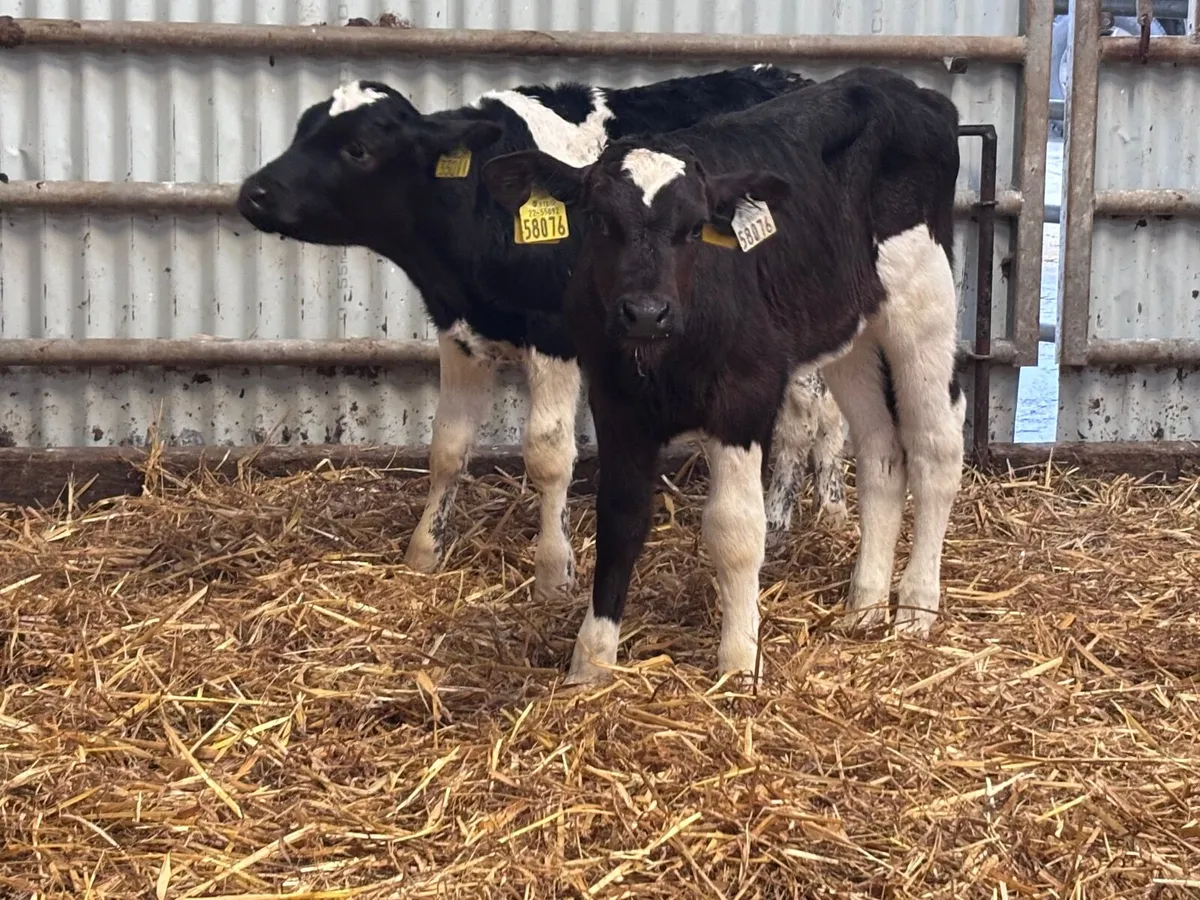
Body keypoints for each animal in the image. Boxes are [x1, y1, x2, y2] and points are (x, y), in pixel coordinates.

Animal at [235, 66, 849, 605]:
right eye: (302, 130)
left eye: (357, 148)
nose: (253, 192)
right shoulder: (459, 329)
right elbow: (448, 445)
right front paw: (423, 552)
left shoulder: (557, 337)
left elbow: (548, 452)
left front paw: (554, 572)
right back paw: (811, 513)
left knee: (812, 414)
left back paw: (801, 517)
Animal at [480, 66, 965, 683]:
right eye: (599, 220)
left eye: (694, 229)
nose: (646, 311)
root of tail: (902, 87)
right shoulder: (615, 401)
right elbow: (620, 517)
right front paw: (589, 662)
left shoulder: (745, 395)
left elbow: (735, 529)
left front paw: (738, 662)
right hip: (849, 332)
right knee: (882, 452)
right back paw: (866, 605)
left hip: (922, 303)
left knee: (934, 448)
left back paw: (915, 611)